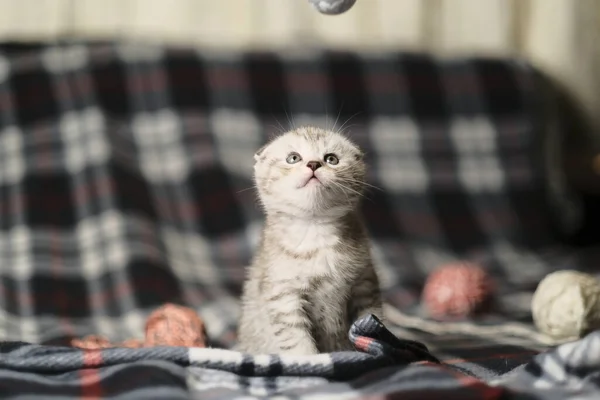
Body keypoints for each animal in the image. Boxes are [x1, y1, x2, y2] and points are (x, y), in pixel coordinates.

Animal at [237, 126, 382, 354]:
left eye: (331, 159)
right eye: (293, 158)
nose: (314, 164)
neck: (314, 231)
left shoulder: (365, 284)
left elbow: (370, 320)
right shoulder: (284, 296)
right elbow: (295, 339)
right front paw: (309, 358)